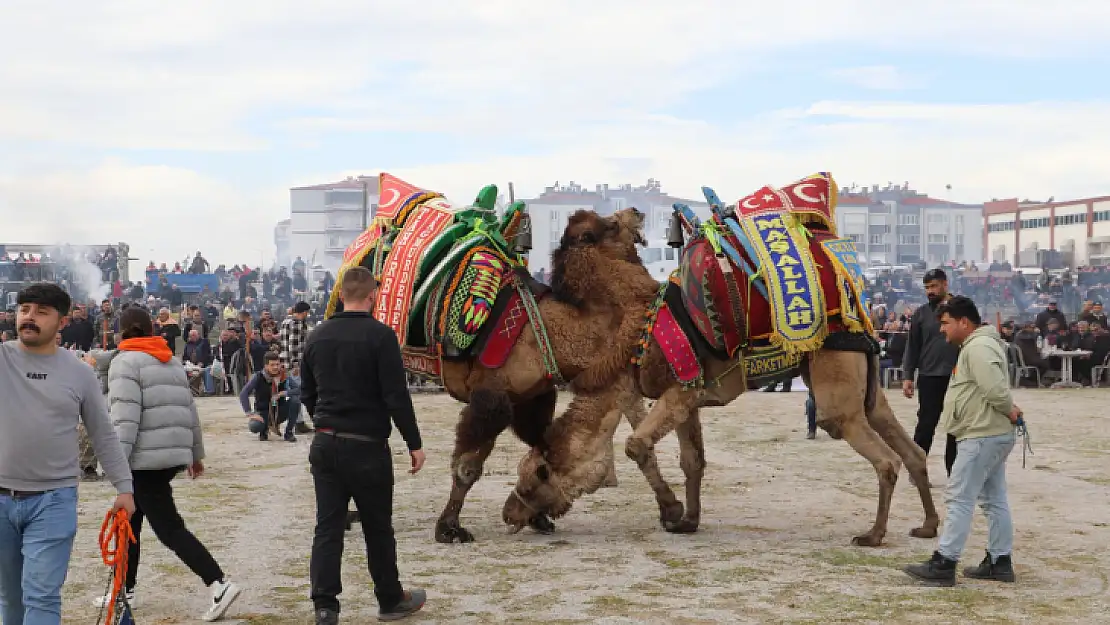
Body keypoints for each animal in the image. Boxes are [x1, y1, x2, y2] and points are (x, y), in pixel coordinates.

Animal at [508, 176, 941, 548]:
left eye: (533, 480)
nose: (510, 513)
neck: (636, 329)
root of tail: (860, 314)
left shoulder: (678, 389)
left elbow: (635, 445)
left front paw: (672, 511)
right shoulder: (687, 397)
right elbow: (692, 460)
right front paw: (688, 520)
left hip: (836, 382)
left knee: (883, 458)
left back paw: (874, 534)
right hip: (867, 382)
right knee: (910, 449)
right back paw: (927, 525)